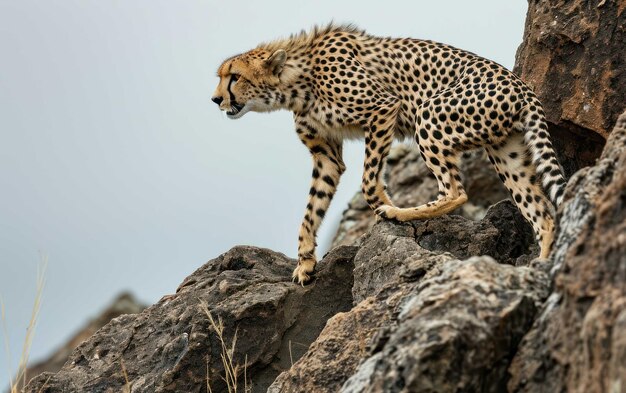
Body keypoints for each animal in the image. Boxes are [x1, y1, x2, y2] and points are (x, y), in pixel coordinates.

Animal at [211, 23, 564, 282]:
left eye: (234, 77)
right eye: (223, 77)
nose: (215, 99)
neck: (296, 80)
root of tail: (523, 87)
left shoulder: (382, 108)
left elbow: (368, 181)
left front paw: (385, 204)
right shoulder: (326, 156)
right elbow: (312, 208)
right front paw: (305, 260)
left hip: (429, 115)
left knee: (456, 191)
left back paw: (400, 214)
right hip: (507, 152)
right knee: (543, 214)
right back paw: (542, 265)